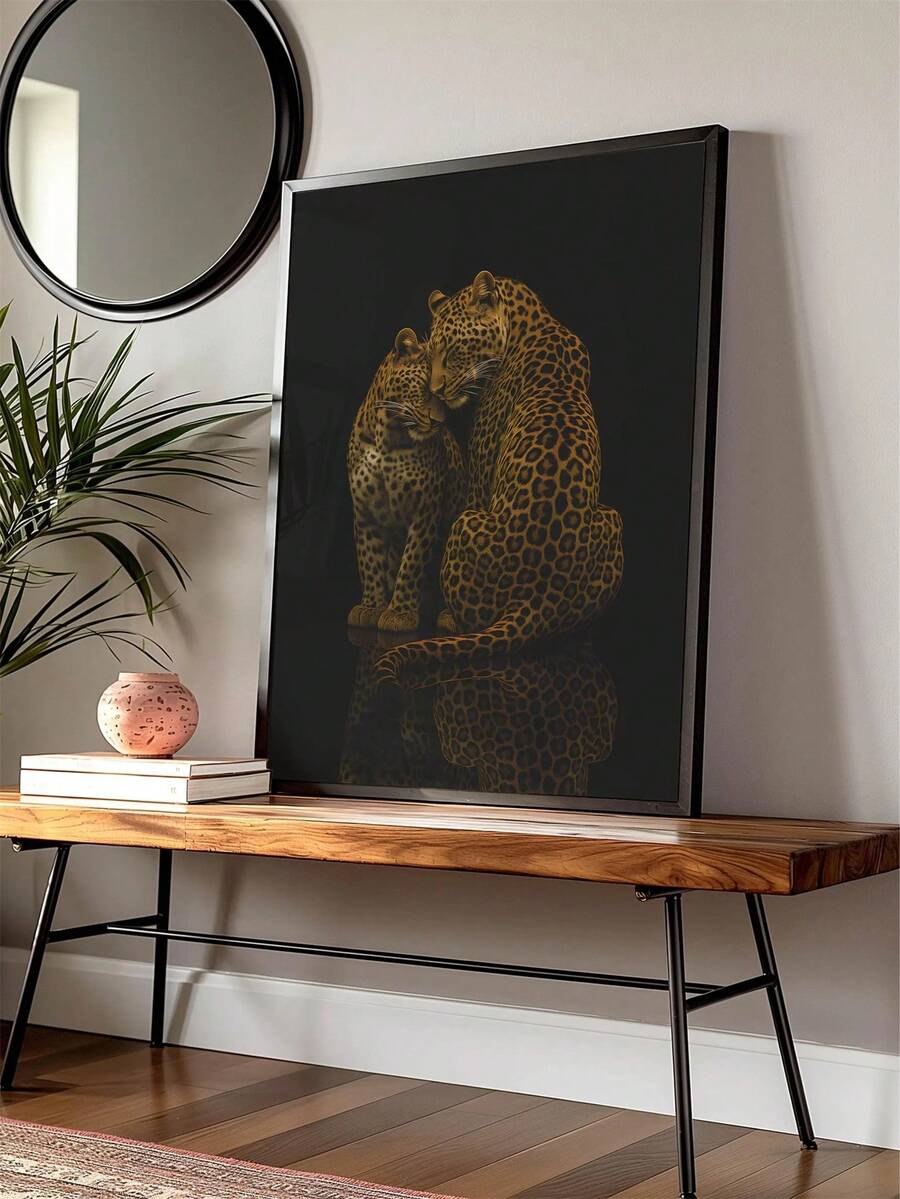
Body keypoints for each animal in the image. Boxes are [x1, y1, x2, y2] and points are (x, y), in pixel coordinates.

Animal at [348, 327, 465, 633]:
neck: (388, 437)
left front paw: (399, 613)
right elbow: (369, 560)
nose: (439, 422)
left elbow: (411, 562)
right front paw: (371, 606)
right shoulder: (365, 509)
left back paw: (447, 616)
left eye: (446, 394)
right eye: (425, 387)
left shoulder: (425, 509)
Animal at [376, 271, 623, 686]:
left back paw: (448, 616)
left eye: (453, 348)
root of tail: (536, 597)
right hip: (613, 520)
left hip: (465, 522)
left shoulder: (480, 469)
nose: (436, 390)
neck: (533, 321)